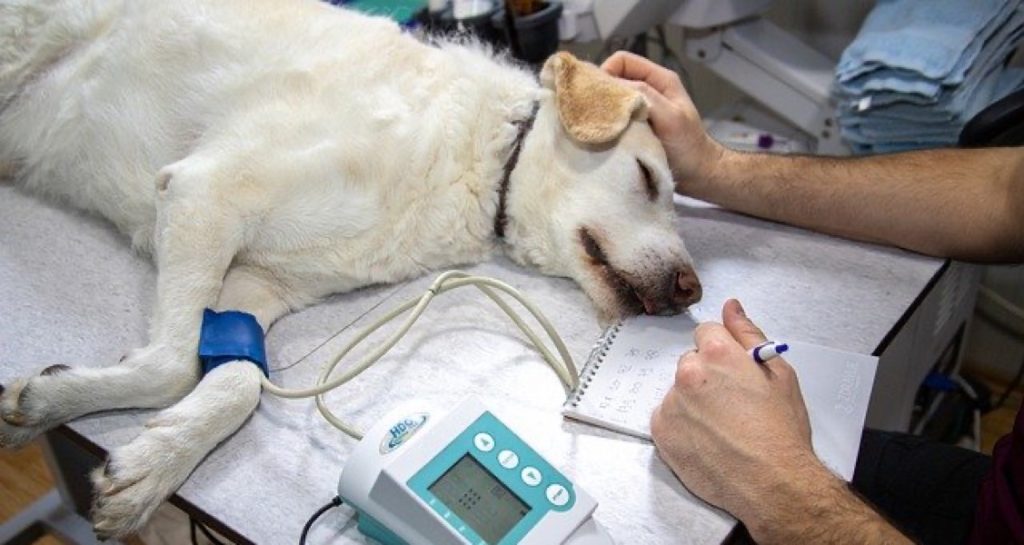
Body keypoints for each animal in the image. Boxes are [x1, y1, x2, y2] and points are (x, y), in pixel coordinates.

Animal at [0, 0, 696, 536]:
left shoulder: (256, 284)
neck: (482, 156)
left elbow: (238, 381)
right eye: (647, 177)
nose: (692, 291)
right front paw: (71, 408)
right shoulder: (206, 192)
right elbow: (173, 365)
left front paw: (145, 458)